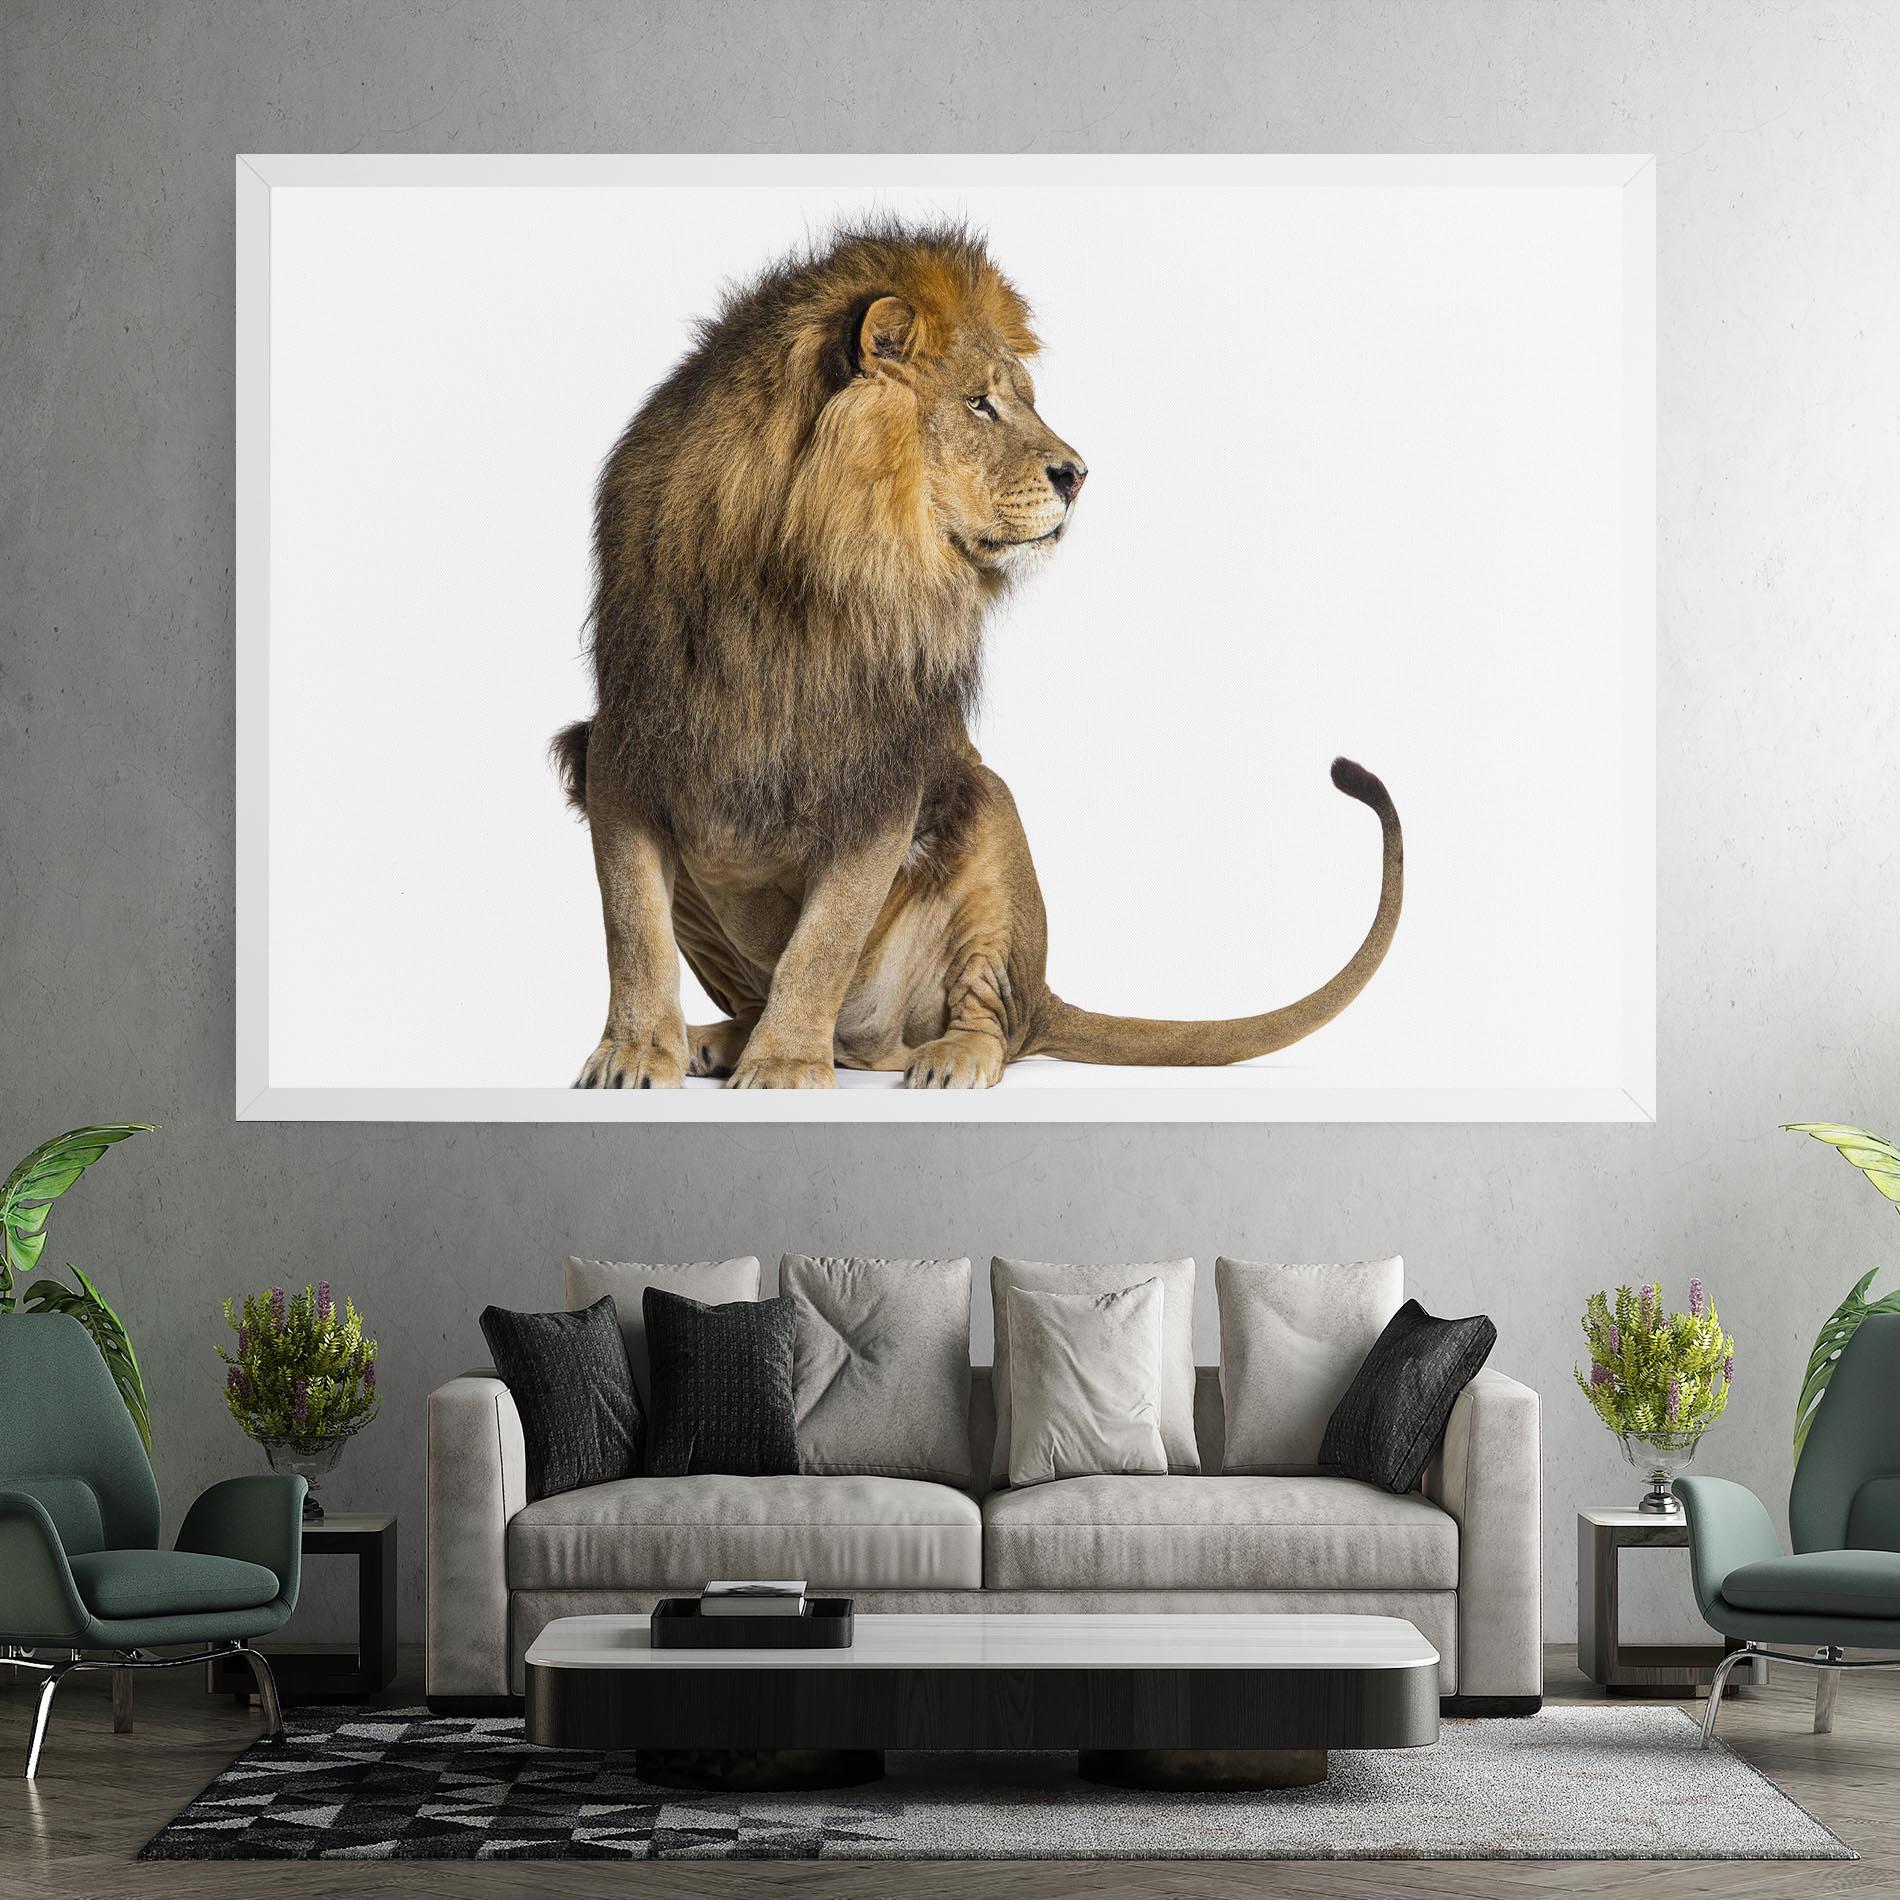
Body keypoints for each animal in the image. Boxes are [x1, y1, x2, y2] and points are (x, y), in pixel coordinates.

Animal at [554, 222, 1402, 1089]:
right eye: (979, 403)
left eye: (1021, 399)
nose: (1078, 475)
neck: (794, 578)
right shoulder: (622, 744)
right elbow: (633, 927)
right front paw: (634, 1054)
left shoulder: (884, 771)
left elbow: (822, 944)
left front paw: (786, 1063)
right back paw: (721, 1039)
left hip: (989, 821)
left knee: (990, 1018)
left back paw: (941, 1056)